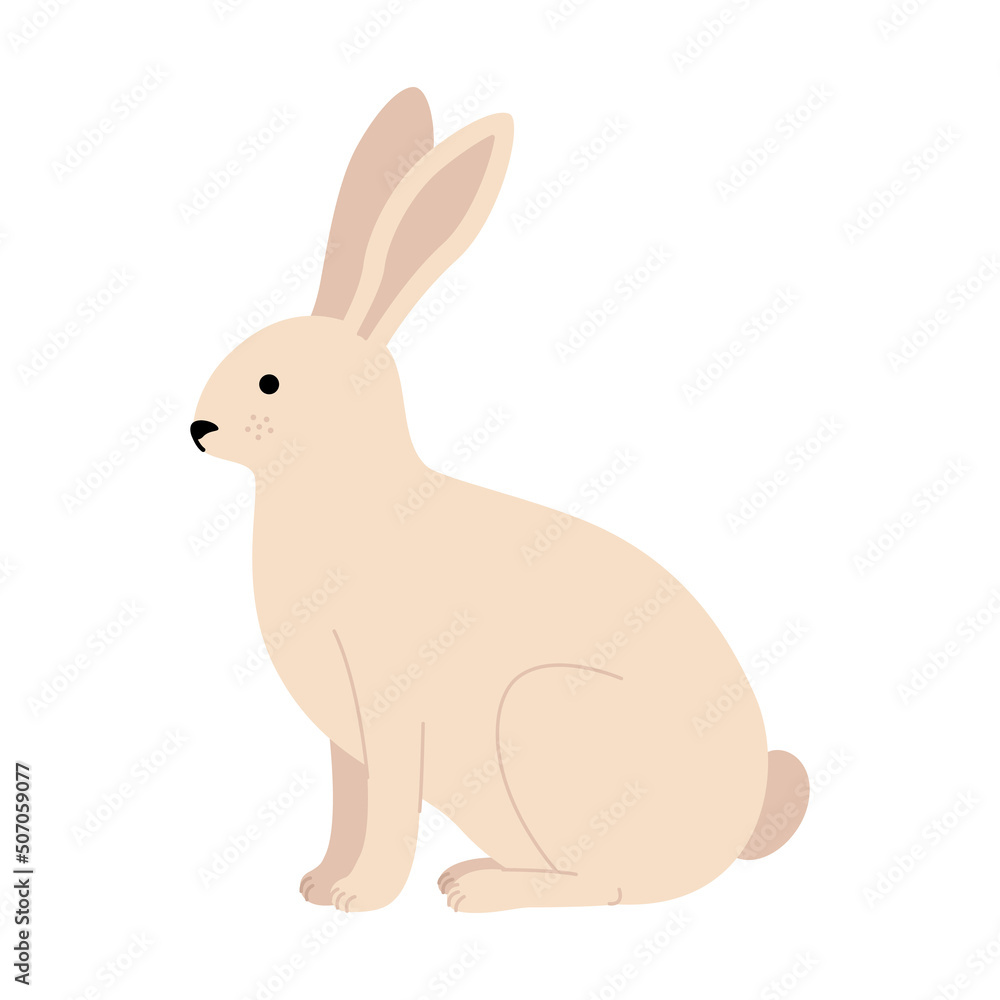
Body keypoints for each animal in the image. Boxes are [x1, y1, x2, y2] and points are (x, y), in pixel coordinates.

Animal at [190, 88, 808, 912]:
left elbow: (387, 812)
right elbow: (350, 808)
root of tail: (731, 839)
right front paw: (319, 885)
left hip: (541, 719)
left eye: (270, 383)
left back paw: (479, 892)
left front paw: (361, 898)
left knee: (607, 887)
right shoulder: (347, 746)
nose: (197, 430)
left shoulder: (395, 718)